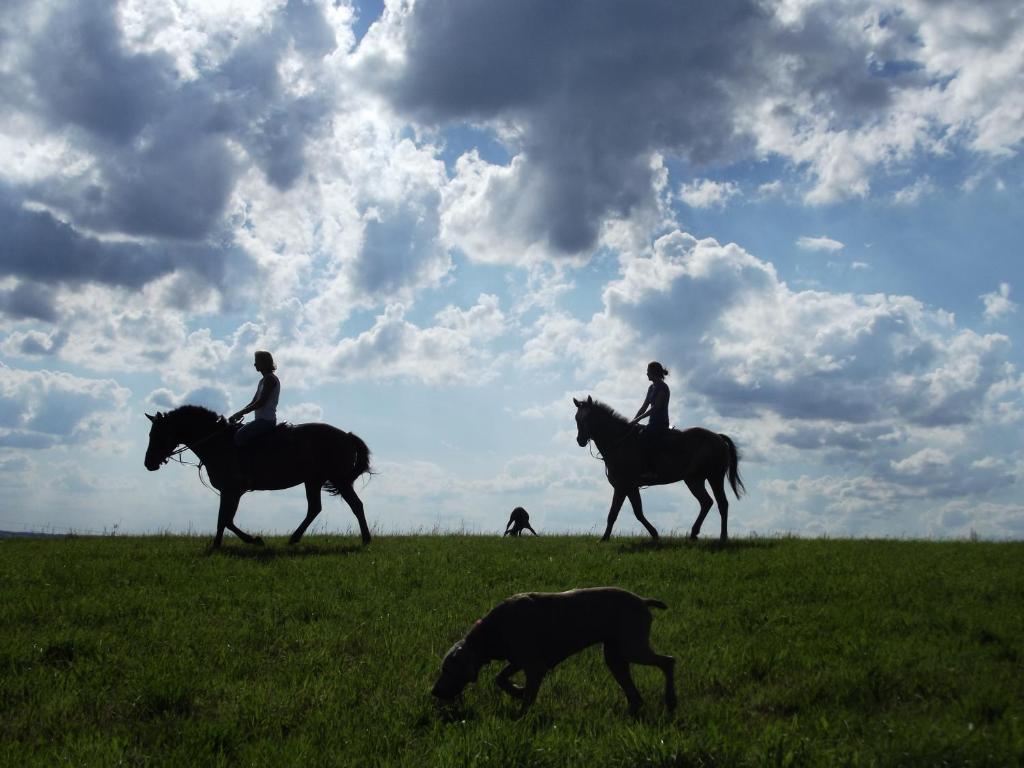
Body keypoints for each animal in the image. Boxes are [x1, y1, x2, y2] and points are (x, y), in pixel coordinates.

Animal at [142, 405, 370, 548]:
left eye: (157, 434)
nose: (148, 463)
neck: (219, 443)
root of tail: (346, 435)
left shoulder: (232, 490)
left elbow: (225, 520)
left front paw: (249, 541)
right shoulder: (229, 491)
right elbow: (224, 520)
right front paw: (220, 545)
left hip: (339, 479)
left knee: (356, 505)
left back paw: (366, 540)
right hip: (313, 481)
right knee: (314, 509)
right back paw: (294, 539)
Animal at [430, 589, 675, 716]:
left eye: (447, 670)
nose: (434, 691)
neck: (491, 630)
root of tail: (643, 600)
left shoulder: (535, 666)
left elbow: (527, 697)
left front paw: (521, 715)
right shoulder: (519, 659)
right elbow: (500, 678)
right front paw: (517, 690)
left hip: (632, 648)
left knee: (669, 661)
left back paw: (671, 699)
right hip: (615, 656)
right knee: (634, 692)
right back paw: (633, 710)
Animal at [569, 399, 745, 544]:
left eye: (588, 418)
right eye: (577, 418)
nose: (580, 440)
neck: (619, 442)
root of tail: (718, 437)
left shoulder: (622, 486)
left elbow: (613, 513)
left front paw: (604, 538)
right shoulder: (631, 487)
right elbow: (638, 512)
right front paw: (654, 534)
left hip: (715, 477)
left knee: (722, 504)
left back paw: (722, 537)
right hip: (694, 480)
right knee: (706, 502)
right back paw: (693, 534)